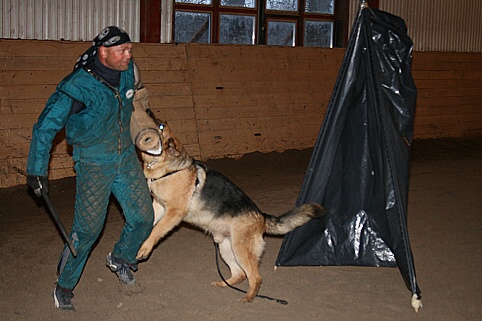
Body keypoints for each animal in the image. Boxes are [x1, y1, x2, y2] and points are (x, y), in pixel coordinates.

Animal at [136, 121, 324, 302]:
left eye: (160, 127)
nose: (146, 124)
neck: (167, 167)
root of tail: (261, 216)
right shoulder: (159, 206)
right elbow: (151, 222)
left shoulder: (174, 212)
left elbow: (156, 230)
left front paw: (145, 247)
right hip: (226, 248)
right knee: (240, 274)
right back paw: (224, 284)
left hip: (240, 250)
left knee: (255, 277)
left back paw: (248, 298)